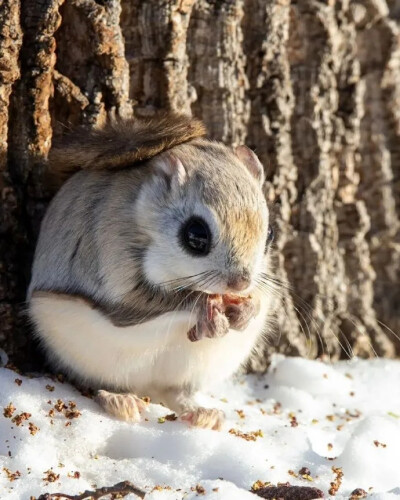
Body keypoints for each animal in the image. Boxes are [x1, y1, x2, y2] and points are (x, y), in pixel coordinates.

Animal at [27, 114, 276, 430]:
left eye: (270, 234)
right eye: (196, 235)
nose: (240, 283)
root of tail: (147, 388)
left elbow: (261, 297)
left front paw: (247, 309)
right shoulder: (111, 262)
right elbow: (141, 307)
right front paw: (203, 306)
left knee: (178, 394)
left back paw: (202, 413)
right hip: (85, 352)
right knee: (94, 382)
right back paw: (118, 399)